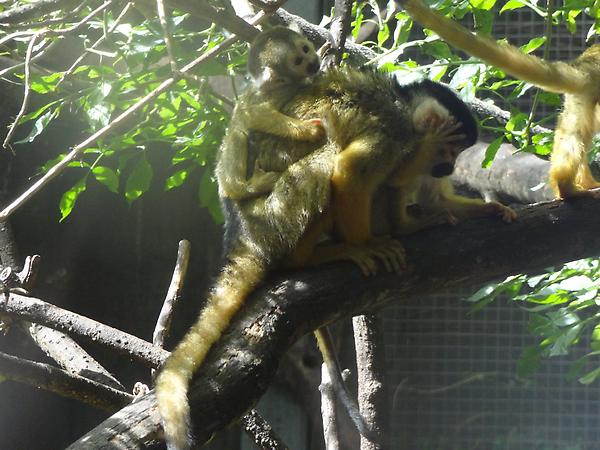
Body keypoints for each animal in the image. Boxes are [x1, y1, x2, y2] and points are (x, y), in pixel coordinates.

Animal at [216, 26, 325, 201]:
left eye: (305, 49)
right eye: (298, 62)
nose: (313, 63)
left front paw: (323, 51)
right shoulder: (282, 90)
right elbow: (253, 115)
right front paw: (309, 130)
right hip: (224, 173)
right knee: (238, 133)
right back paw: (244, 187)